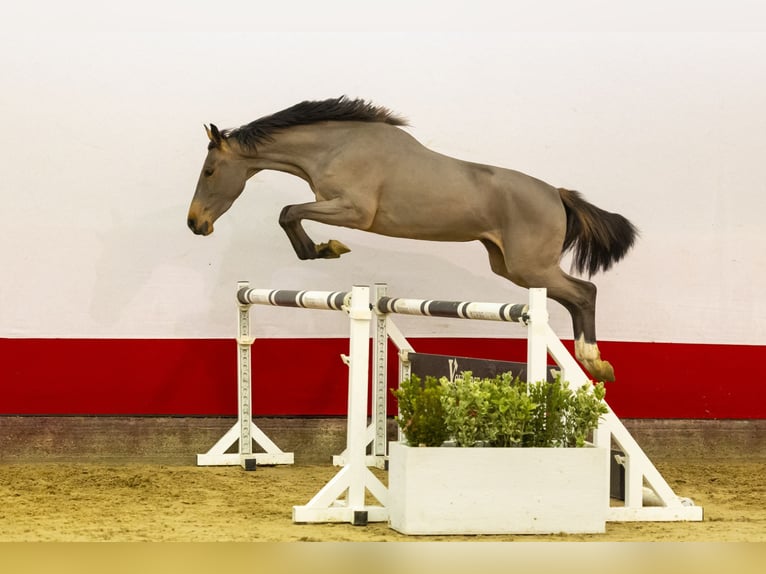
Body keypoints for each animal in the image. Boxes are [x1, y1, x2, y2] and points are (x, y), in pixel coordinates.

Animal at [189, 95, 640, 382]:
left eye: (209, 171)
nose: (195, 224)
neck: (336, 146)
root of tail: (557, 194)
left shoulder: (353, 211)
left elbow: (288, 213)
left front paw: (325, 249)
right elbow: (290, 215)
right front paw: (322, 249)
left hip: (531, 267)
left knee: (584, 292)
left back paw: (595, 362)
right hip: (511, 267)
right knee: (576, 296)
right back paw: (594, 362)